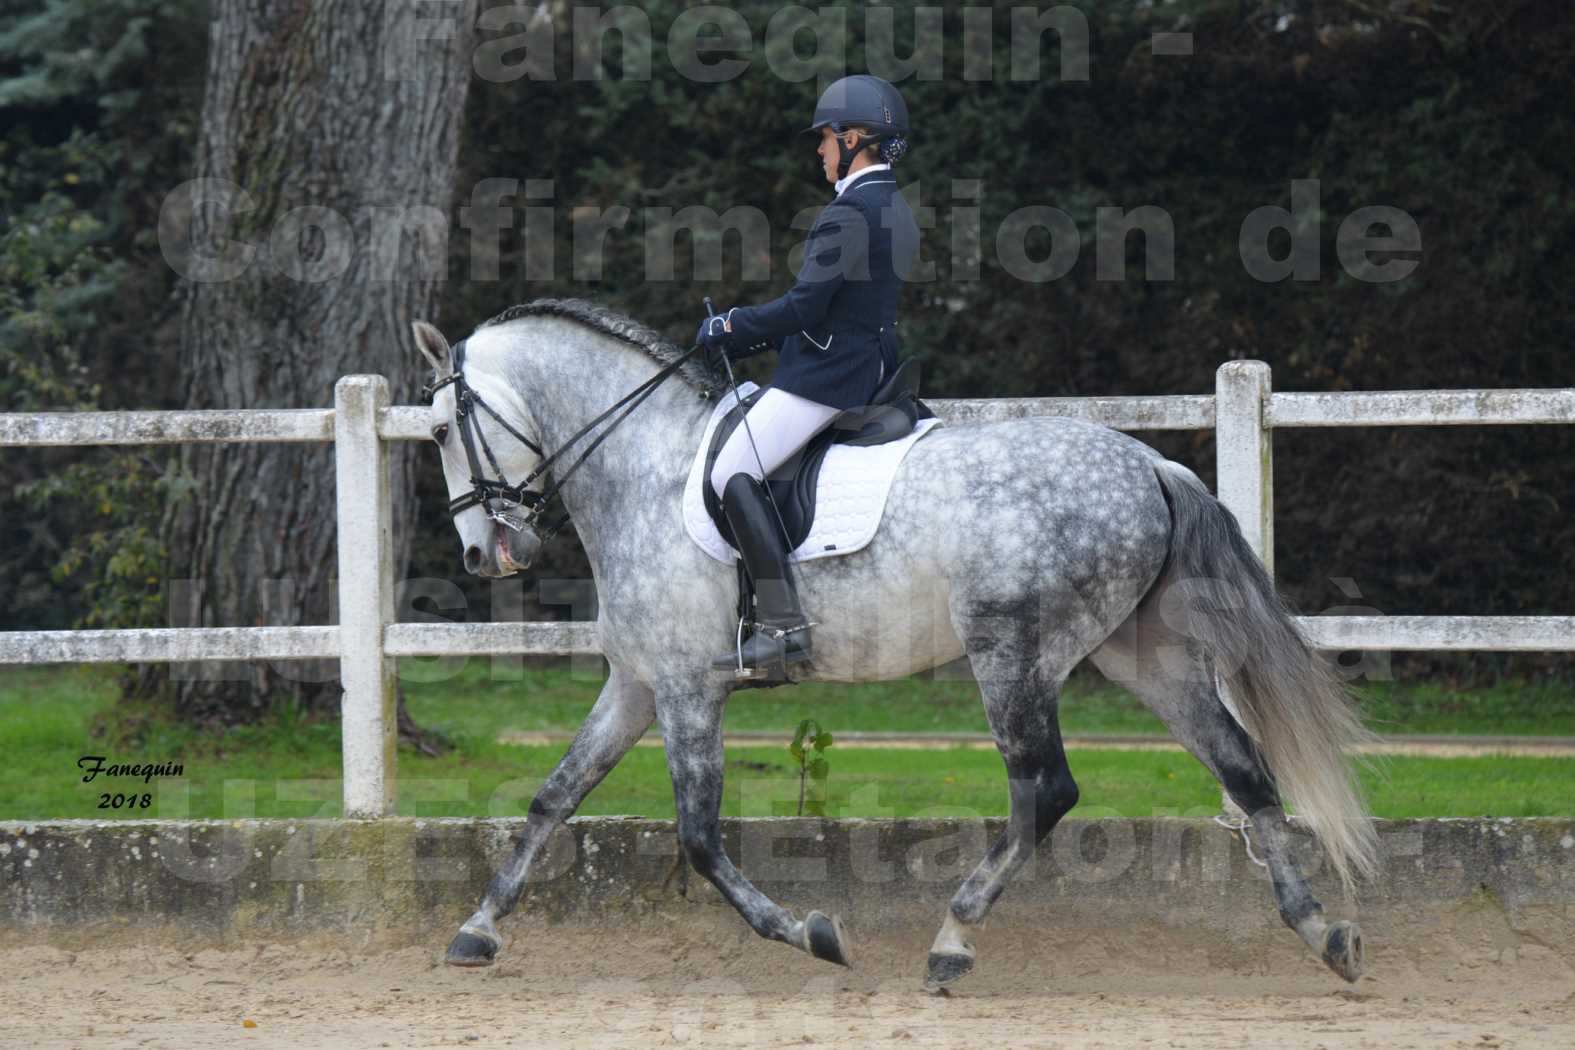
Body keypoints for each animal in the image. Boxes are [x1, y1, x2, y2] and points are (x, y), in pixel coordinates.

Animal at [409, 299, 1379, 988]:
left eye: (442, 430)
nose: (482, 554)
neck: (642, 466)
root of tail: (1152, 464)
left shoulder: (687, 688)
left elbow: (699, 838)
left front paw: (811, 933)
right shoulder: (638, 684)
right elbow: (552, 797)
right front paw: (476, 931)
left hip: (1012, 654)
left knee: (1045, 791)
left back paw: (952, 940)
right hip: (1147, 656)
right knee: (1241, 767)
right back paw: (1322, 931)